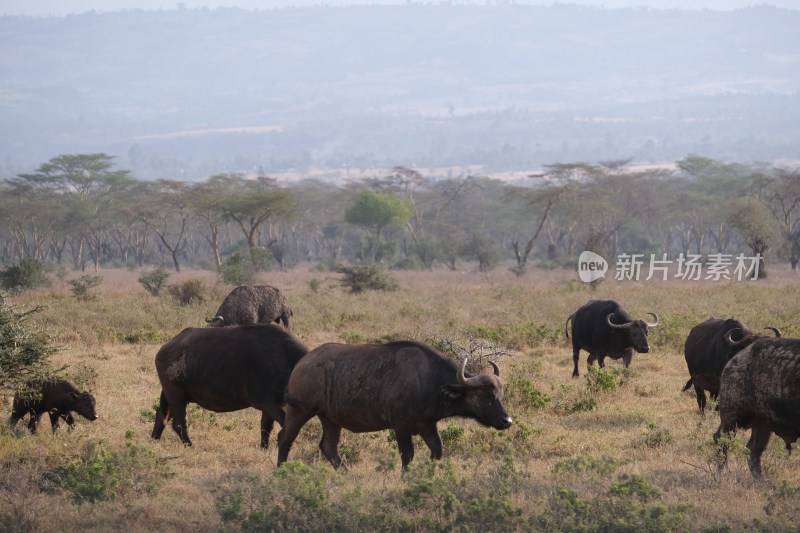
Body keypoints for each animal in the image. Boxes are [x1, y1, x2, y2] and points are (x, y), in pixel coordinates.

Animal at [152, 322, 308, 446]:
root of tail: (165, 348)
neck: (284, 360)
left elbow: (266, 427)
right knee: (178, 422)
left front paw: (264, 448)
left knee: (161, 415)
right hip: (176, 394)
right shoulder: (263, 402)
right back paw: (189, 445)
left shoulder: (273, 404)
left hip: (170, 394)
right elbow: (284, 422)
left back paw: (154, 439)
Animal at [276, 340, 512, 470]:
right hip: (300, 410)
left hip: (330, 418)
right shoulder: (402, 426)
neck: (427, 380)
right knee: (285, 438)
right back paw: (281, 470)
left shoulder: (427, 426)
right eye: (487, 395)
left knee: (328, 446)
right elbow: (407, 455)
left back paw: (345, 472)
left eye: (501, 394)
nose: (507, 420)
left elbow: (437, 451)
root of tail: (303, 362)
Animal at [712, 336, 800, 478]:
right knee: (721, 438)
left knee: (753, 449)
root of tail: (736, 358)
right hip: (733, 416)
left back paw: (759, 478)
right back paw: (723, 471)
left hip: (763, 424)